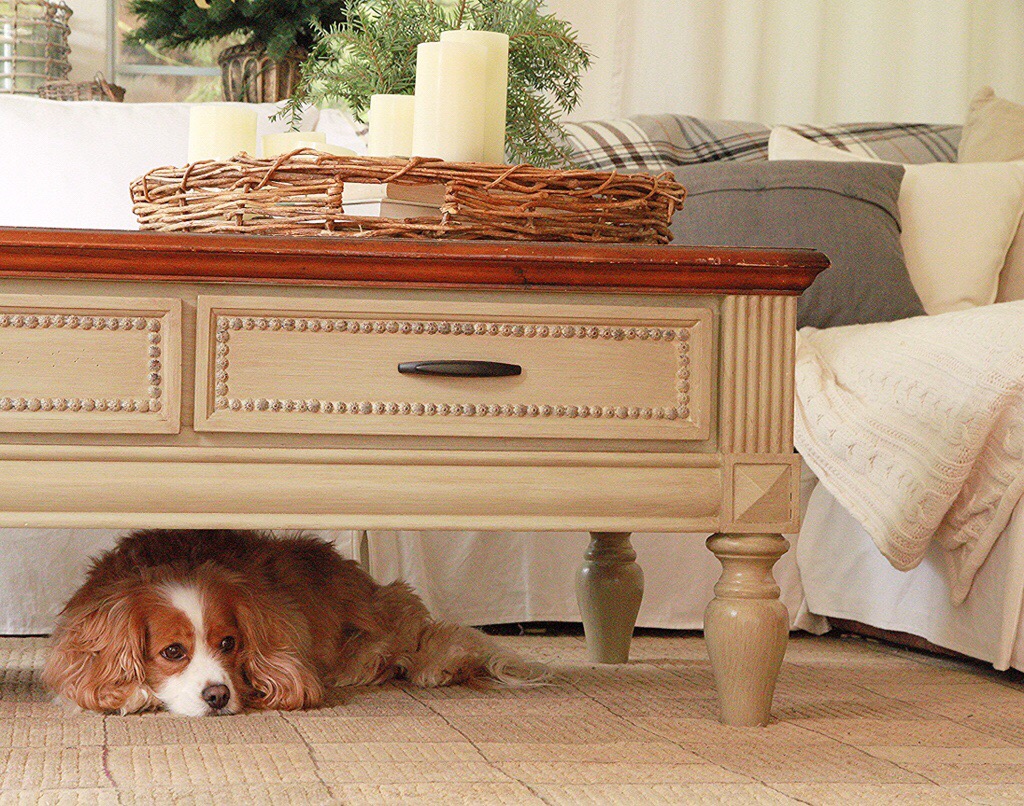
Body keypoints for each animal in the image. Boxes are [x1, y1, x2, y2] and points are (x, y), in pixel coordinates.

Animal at [43, 532, 544, 716]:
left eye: (229, 643)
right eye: (172, 652)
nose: (218, 696)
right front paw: (133, 693)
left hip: (378, 620)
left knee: (409, 642)